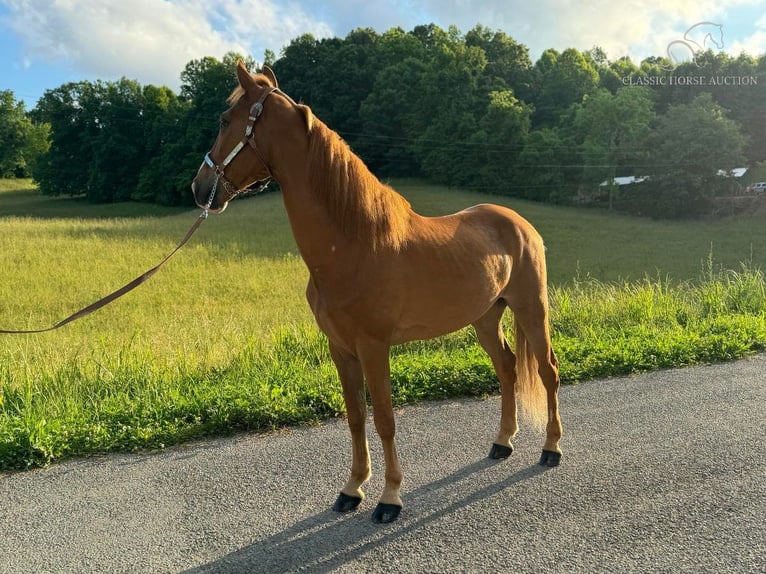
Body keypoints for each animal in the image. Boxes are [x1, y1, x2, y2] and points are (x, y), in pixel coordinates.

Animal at [192, 63, 564, 528]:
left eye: (225, 121)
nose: (199, 188)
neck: (354, 242)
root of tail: (520, 223)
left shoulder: (374, 347)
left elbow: (385, 419)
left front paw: (390, 497)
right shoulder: (340, 348)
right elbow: (355, 417)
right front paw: (352, 489)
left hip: (532, 310)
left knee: (548, 371)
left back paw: (551, 449)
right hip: (485, 318)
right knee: (509, 368)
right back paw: (502, 443)